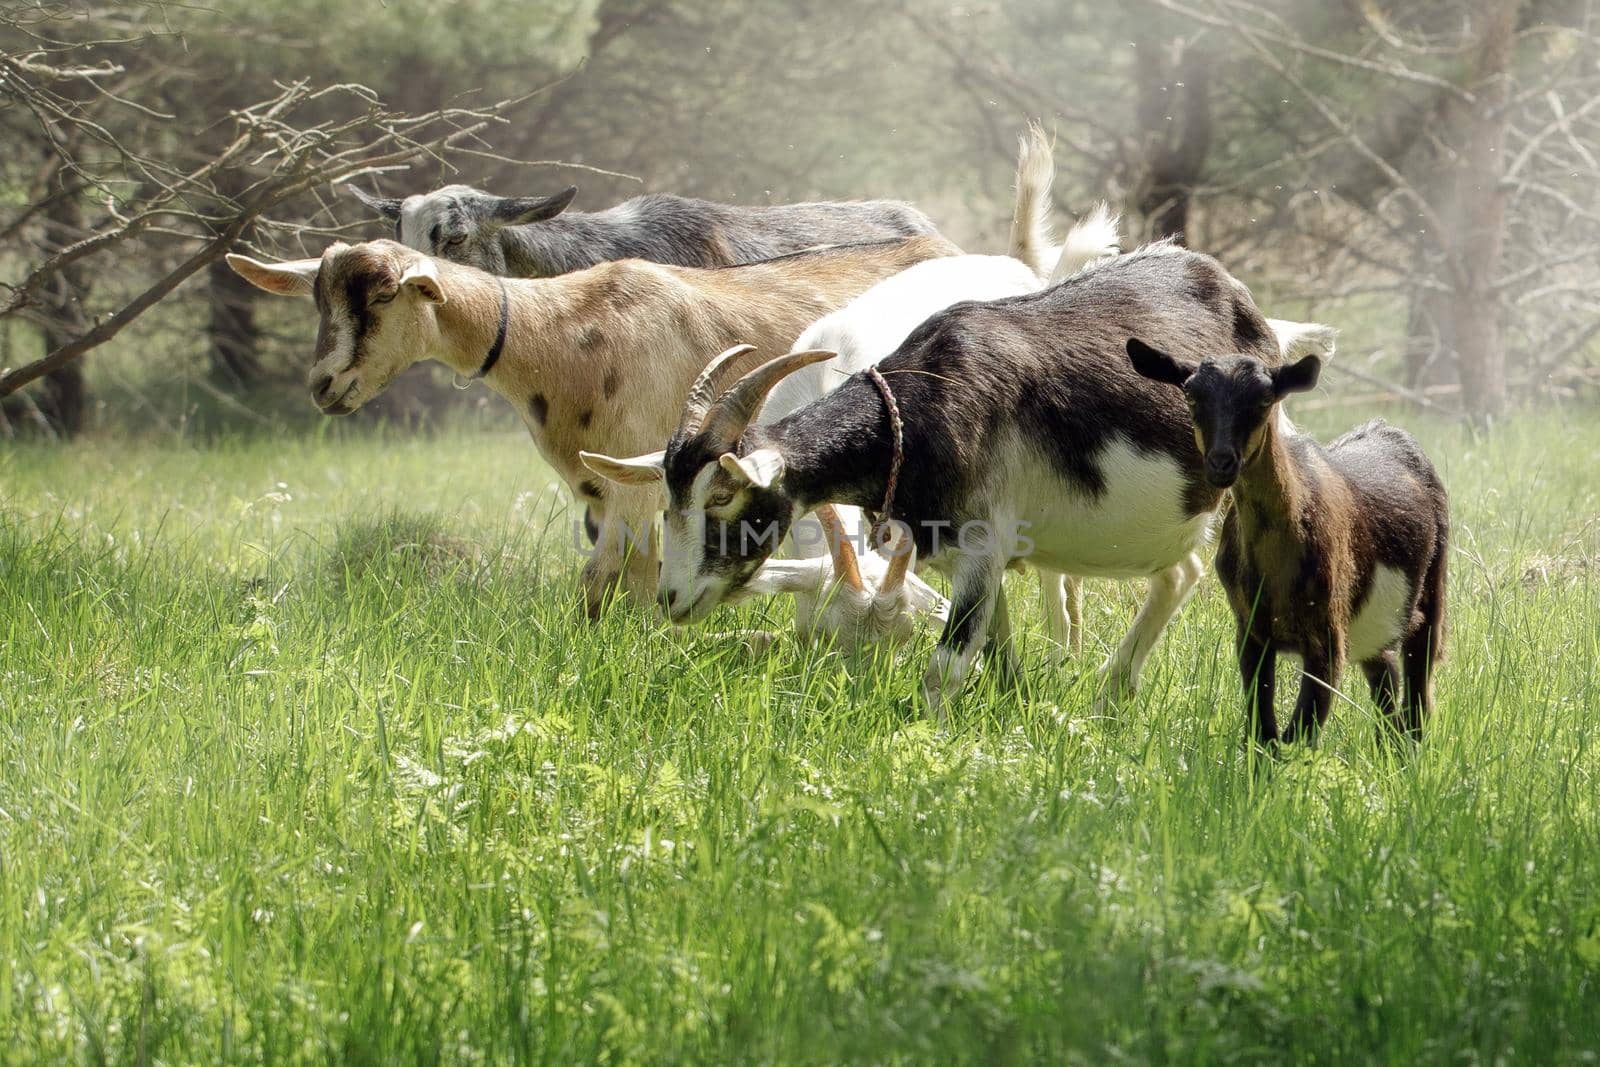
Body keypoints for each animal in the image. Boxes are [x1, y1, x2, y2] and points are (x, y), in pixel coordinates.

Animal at [225, 236, 947, 614]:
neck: (566, 336)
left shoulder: (638, 483)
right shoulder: (611, 489)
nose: (323, 385)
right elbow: (636, 578)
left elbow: (604, 584)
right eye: (317, 298)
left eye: (381, 296)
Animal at [576, 244, 1286, 716]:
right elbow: (994, 655)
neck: (921, 408)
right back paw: (1113, 690)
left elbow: (945, 666)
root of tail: (1222, 283)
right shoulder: (958, 554)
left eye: (722, 495)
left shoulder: (980, 544)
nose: (672, 596)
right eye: (669, 497)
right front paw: (1011, 709)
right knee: (1178, 570)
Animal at [1126, 337, 1452, 748]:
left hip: (1431, 594)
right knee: (1386, 686)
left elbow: (1299, 733)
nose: (1221, 462)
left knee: (1419, 691)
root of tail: (1391, 432)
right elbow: (1263, 730)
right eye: (1190, 394)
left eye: (1265, 398)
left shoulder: (1328, 639)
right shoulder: (1251, 633)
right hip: (1374, 630)